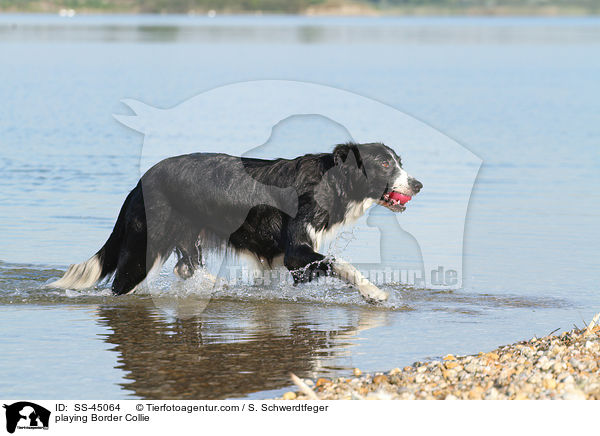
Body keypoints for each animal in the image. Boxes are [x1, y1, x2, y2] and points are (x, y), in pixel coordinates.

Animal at [50, 141, 422, 302]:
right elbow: (342, 264)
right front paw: (374, 292)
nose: (417, 184)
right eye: (385, 164)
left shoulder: (274, 258)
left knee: (185, 267)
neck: (330, 182)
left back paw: (217, 283)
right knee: (122, 284)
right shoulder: (295, 253)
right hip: (143, 250)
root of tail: (139, 184)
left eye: (400, 162)